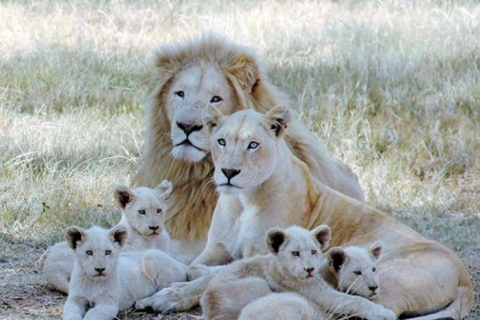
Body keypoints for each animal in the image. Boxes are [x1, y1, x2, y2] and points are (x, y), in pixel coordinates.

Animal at [141, 107, 474, 320]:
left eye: (253, 145)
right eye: (221, 141)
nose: (229, 172)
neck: (242, 202)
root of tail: (465, 276)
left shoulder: (266, 258)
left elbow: (204, 278)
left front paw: (167, 296)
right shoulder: (213, 251)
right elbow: (196, 269)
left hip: (379, 280)